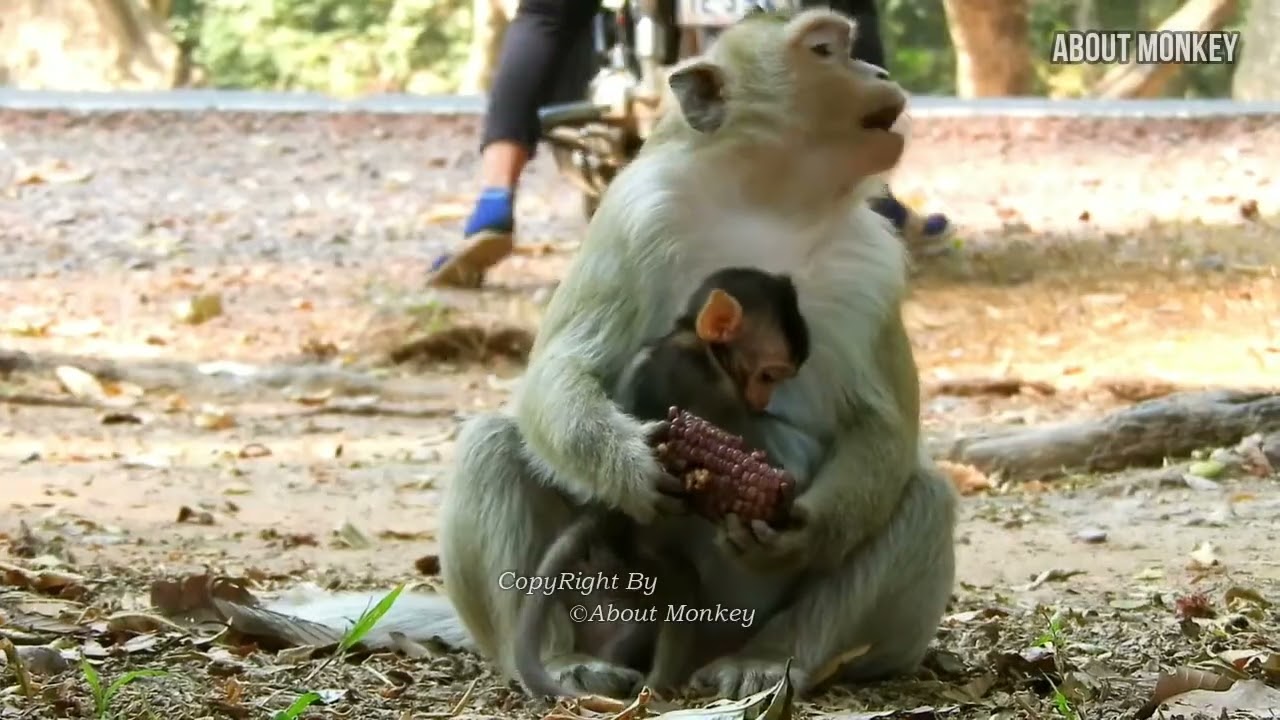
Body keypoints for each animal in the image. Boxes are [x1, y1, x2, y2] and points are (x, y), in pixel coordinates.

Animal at [514, 267, 811, 699]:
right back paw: (656, 688)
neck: (698, 349)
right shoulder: (708, 385)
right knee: (681, 585)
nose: (763, 400)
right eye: (769, 375)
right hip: (633, 564)